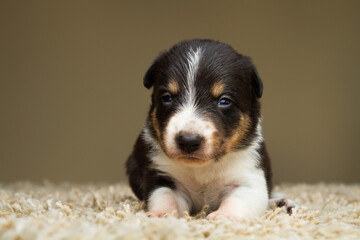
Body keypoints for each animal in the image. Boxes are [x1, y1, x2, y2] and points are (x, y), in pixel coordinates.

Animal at [125, 39, 274, 219]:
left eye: (224, 101)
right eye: (167, 98)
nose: (188, 141)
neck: (202, 169)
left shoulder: (249, 176)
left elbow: (239, 201)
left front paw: (224, 216)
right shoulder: (162, 175)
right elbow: (165, 197)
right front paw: (161, 214)